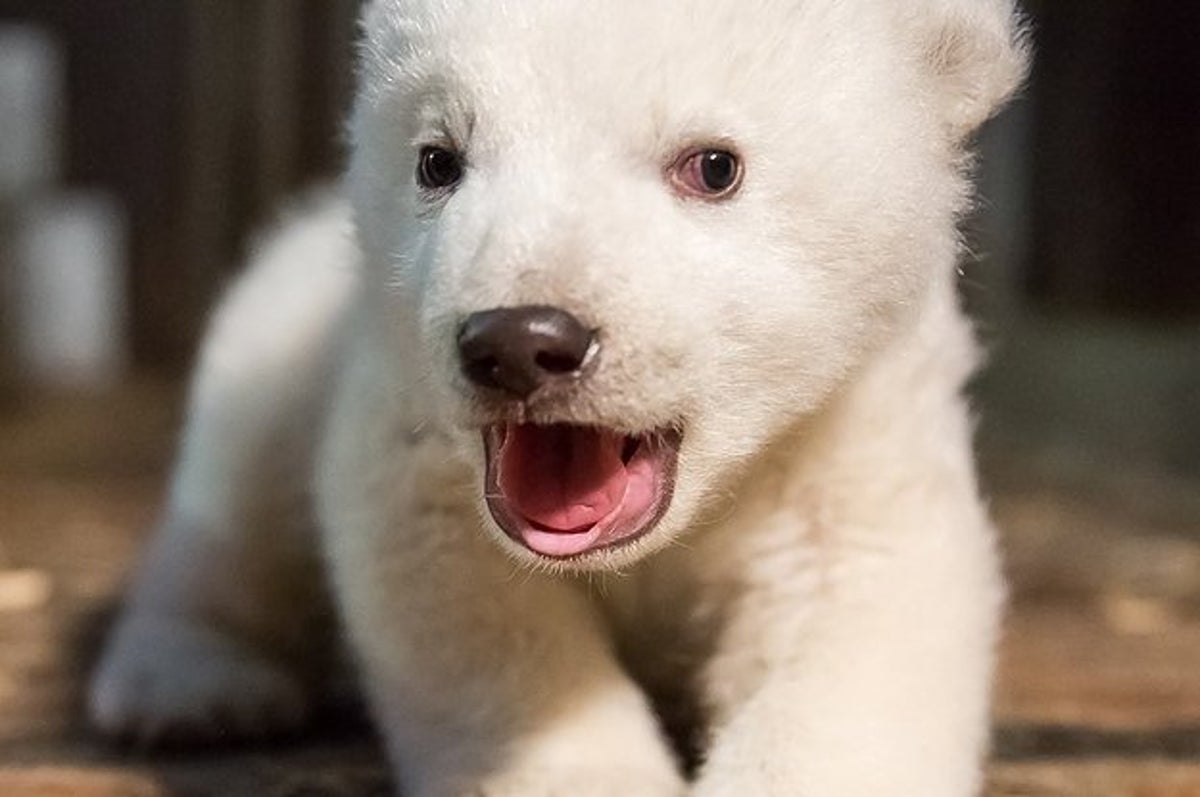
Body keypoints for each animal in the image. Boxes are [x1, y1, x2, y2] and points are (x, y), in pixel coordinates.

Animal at [90, 1, 1029, 794]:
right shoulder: (410, 421)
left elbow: (853, 606)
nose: (519, 342)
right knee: (233, 503)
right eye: (439, 159)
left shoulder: (853, 430)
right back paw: (190, 688)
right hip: (275, 340)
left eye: (712, 164)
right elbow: (476, 603)